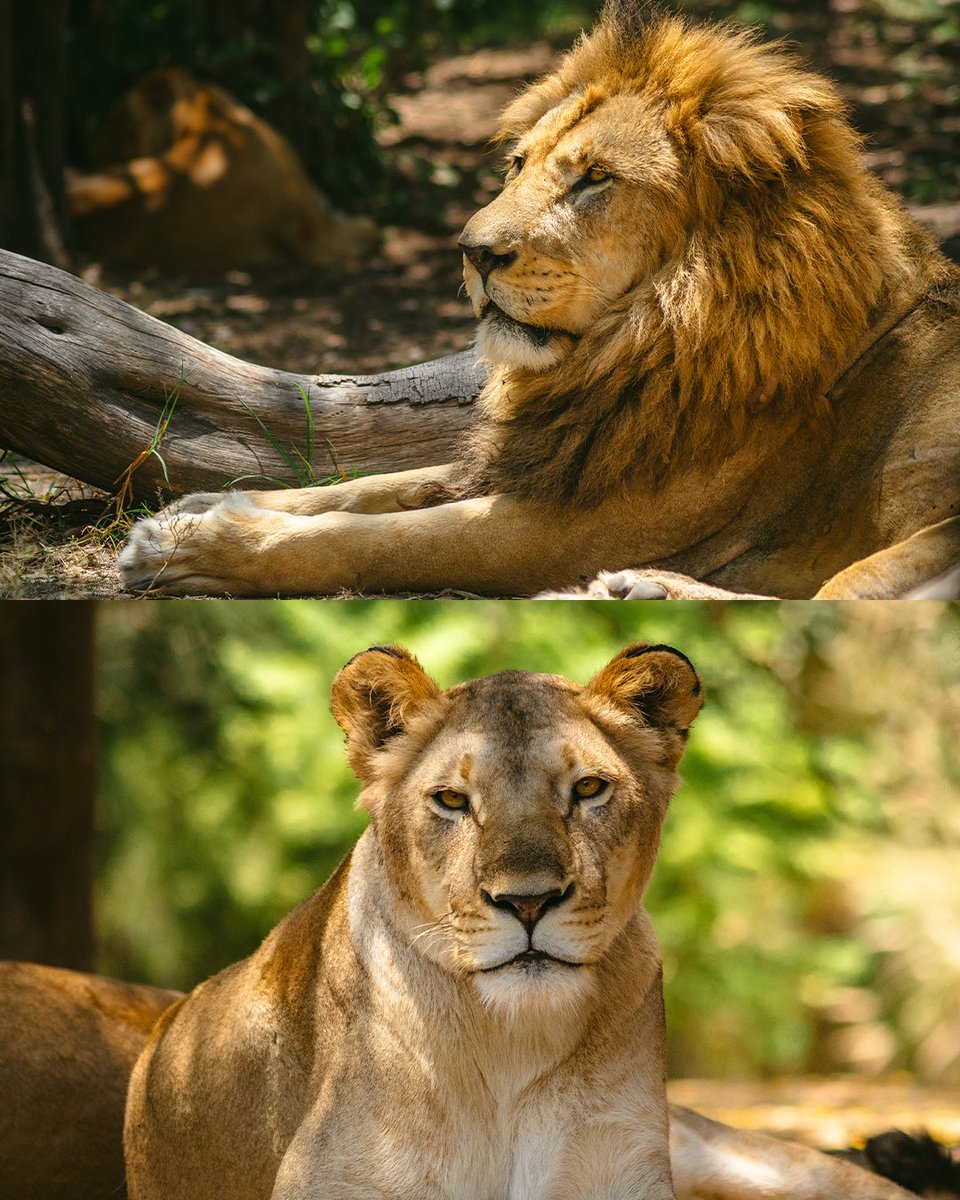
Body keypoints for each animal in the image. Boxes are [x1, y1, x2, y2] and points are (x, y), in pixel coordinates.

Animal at [119, 0, 960, 598]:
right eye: (519, 164)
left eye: (595, 179)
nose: (473, 253)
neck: (647, 340)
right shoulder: (540, 462)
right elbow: (362, 488)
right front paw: (197, 508)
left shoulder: (574, 527)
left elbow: (381, 538)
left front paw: (197, 548)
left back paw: (639, 588)